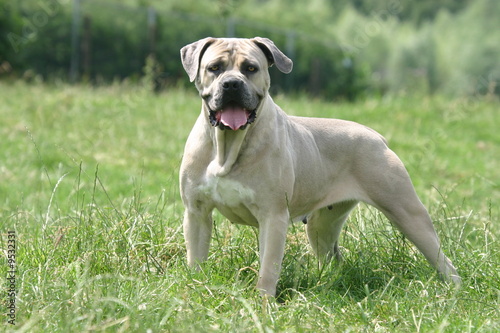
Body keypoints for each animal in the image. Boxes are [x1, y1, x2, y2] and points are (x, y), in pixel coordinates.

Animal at [180, 37, 460, 296]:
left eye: (250, 68)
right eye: (214, 68)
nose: (232, 84)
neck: (227, 147)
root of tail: (376, 136)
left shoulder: (272, 217)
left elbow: (268, 269)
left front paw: (263, 304)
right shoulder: (197, 213)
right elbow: (195, 260)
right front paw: (195, 290)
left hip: (408, 214)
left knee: (442, 260)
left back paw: (454, 291)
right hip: (321, 226)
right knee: (333, 258)